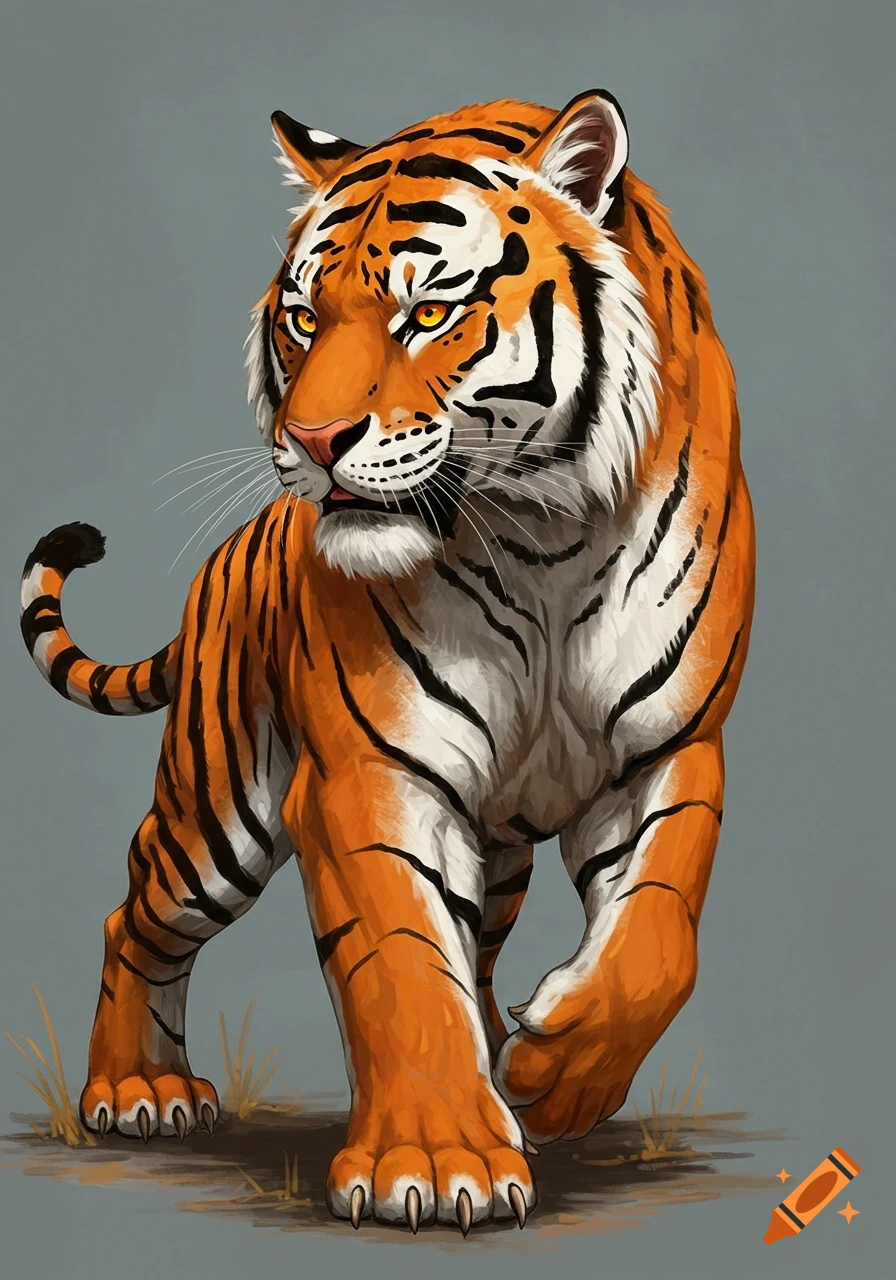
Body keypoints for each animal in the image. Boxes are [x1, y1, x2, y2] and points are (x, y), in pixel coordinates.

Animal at [19, 90, 755, 1234]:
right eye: (302, 319)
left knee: (484, 941)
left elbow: (657, 937)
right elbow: (400, 962)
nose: (311, 441)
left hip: (487, 844)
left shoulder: (669, 750)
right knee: (133, 907)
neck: (540, 536)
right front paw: (442, 1160)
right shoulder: (370, 774)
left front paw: (555, 1075)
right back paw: (137, 1087)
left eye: (429, 312)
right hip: (218, 809)